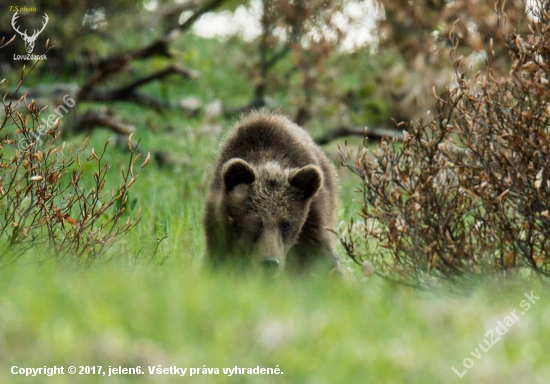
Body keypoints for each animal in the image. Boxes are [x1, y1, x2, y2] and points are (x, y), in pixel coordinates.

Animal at [204, 110, 340, 272]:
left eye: (285, 224)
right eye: (254, 222)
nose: (270, 262)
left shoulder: (313, 222)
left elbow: (320, 256)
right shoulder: (220, 224)